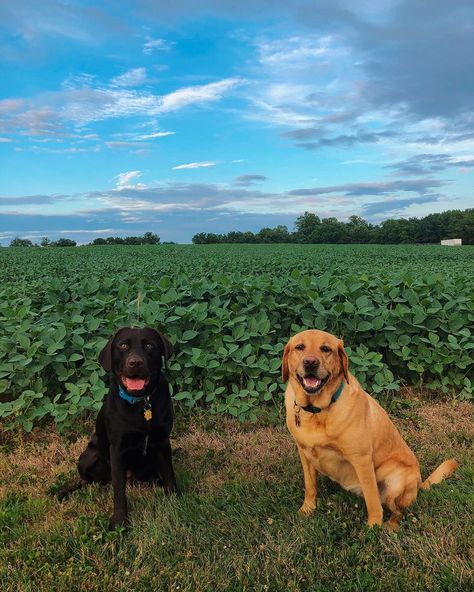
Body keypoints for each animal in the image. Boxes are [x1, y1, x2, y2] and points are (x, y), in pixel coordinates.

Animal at [57, 328, 179, 528]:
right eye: (123, 345)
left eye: (149, 345)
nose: (135, 362)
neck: (141, 403)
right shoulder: (117, 450)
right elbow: (119, 492)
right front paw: (120, 521)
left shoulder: (162, 442)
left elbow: (169, 474)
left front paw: (175, 499)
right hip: (88, 457)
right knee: (91, 481)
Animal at [284, 330, 458, 528]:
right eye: (300, 347)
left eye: (326, 349)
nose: (310, 362)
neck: (317, 411)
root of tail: (419, 483)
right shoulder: (304, 453)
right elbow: (310, 486)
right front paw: (307, 509)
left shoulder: (362, 460)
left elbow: (372, 499)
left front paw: (373, 526)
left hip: (394, 482)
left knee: (398, 510)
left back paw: (390, 527)